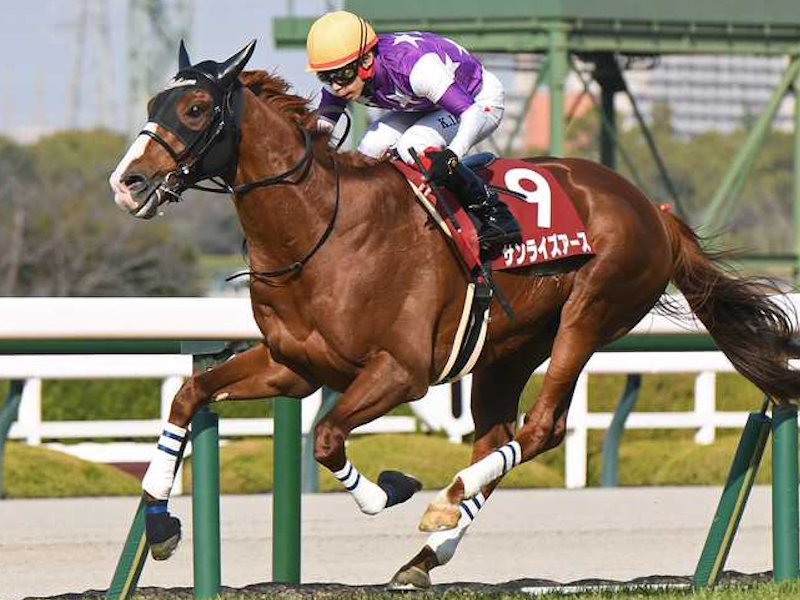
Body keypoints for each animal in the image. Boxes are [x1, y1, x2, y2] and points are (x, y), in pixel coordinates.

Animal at [109, 41, 800, 589]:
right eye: (153, 104)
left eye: (196, 110)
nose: (128, 182)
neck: (322, 230)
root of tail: (651, 207)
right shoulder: (292, 366)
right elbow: (188, 397)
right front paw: (161, 524)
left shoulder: (402, 370)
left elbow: (327, 436)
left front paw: (392, 489)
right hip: (509, 346)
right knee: (498, 436)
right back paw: (428, 553)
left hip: (591, 313)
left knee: (542, 428)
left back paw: (445, 503)